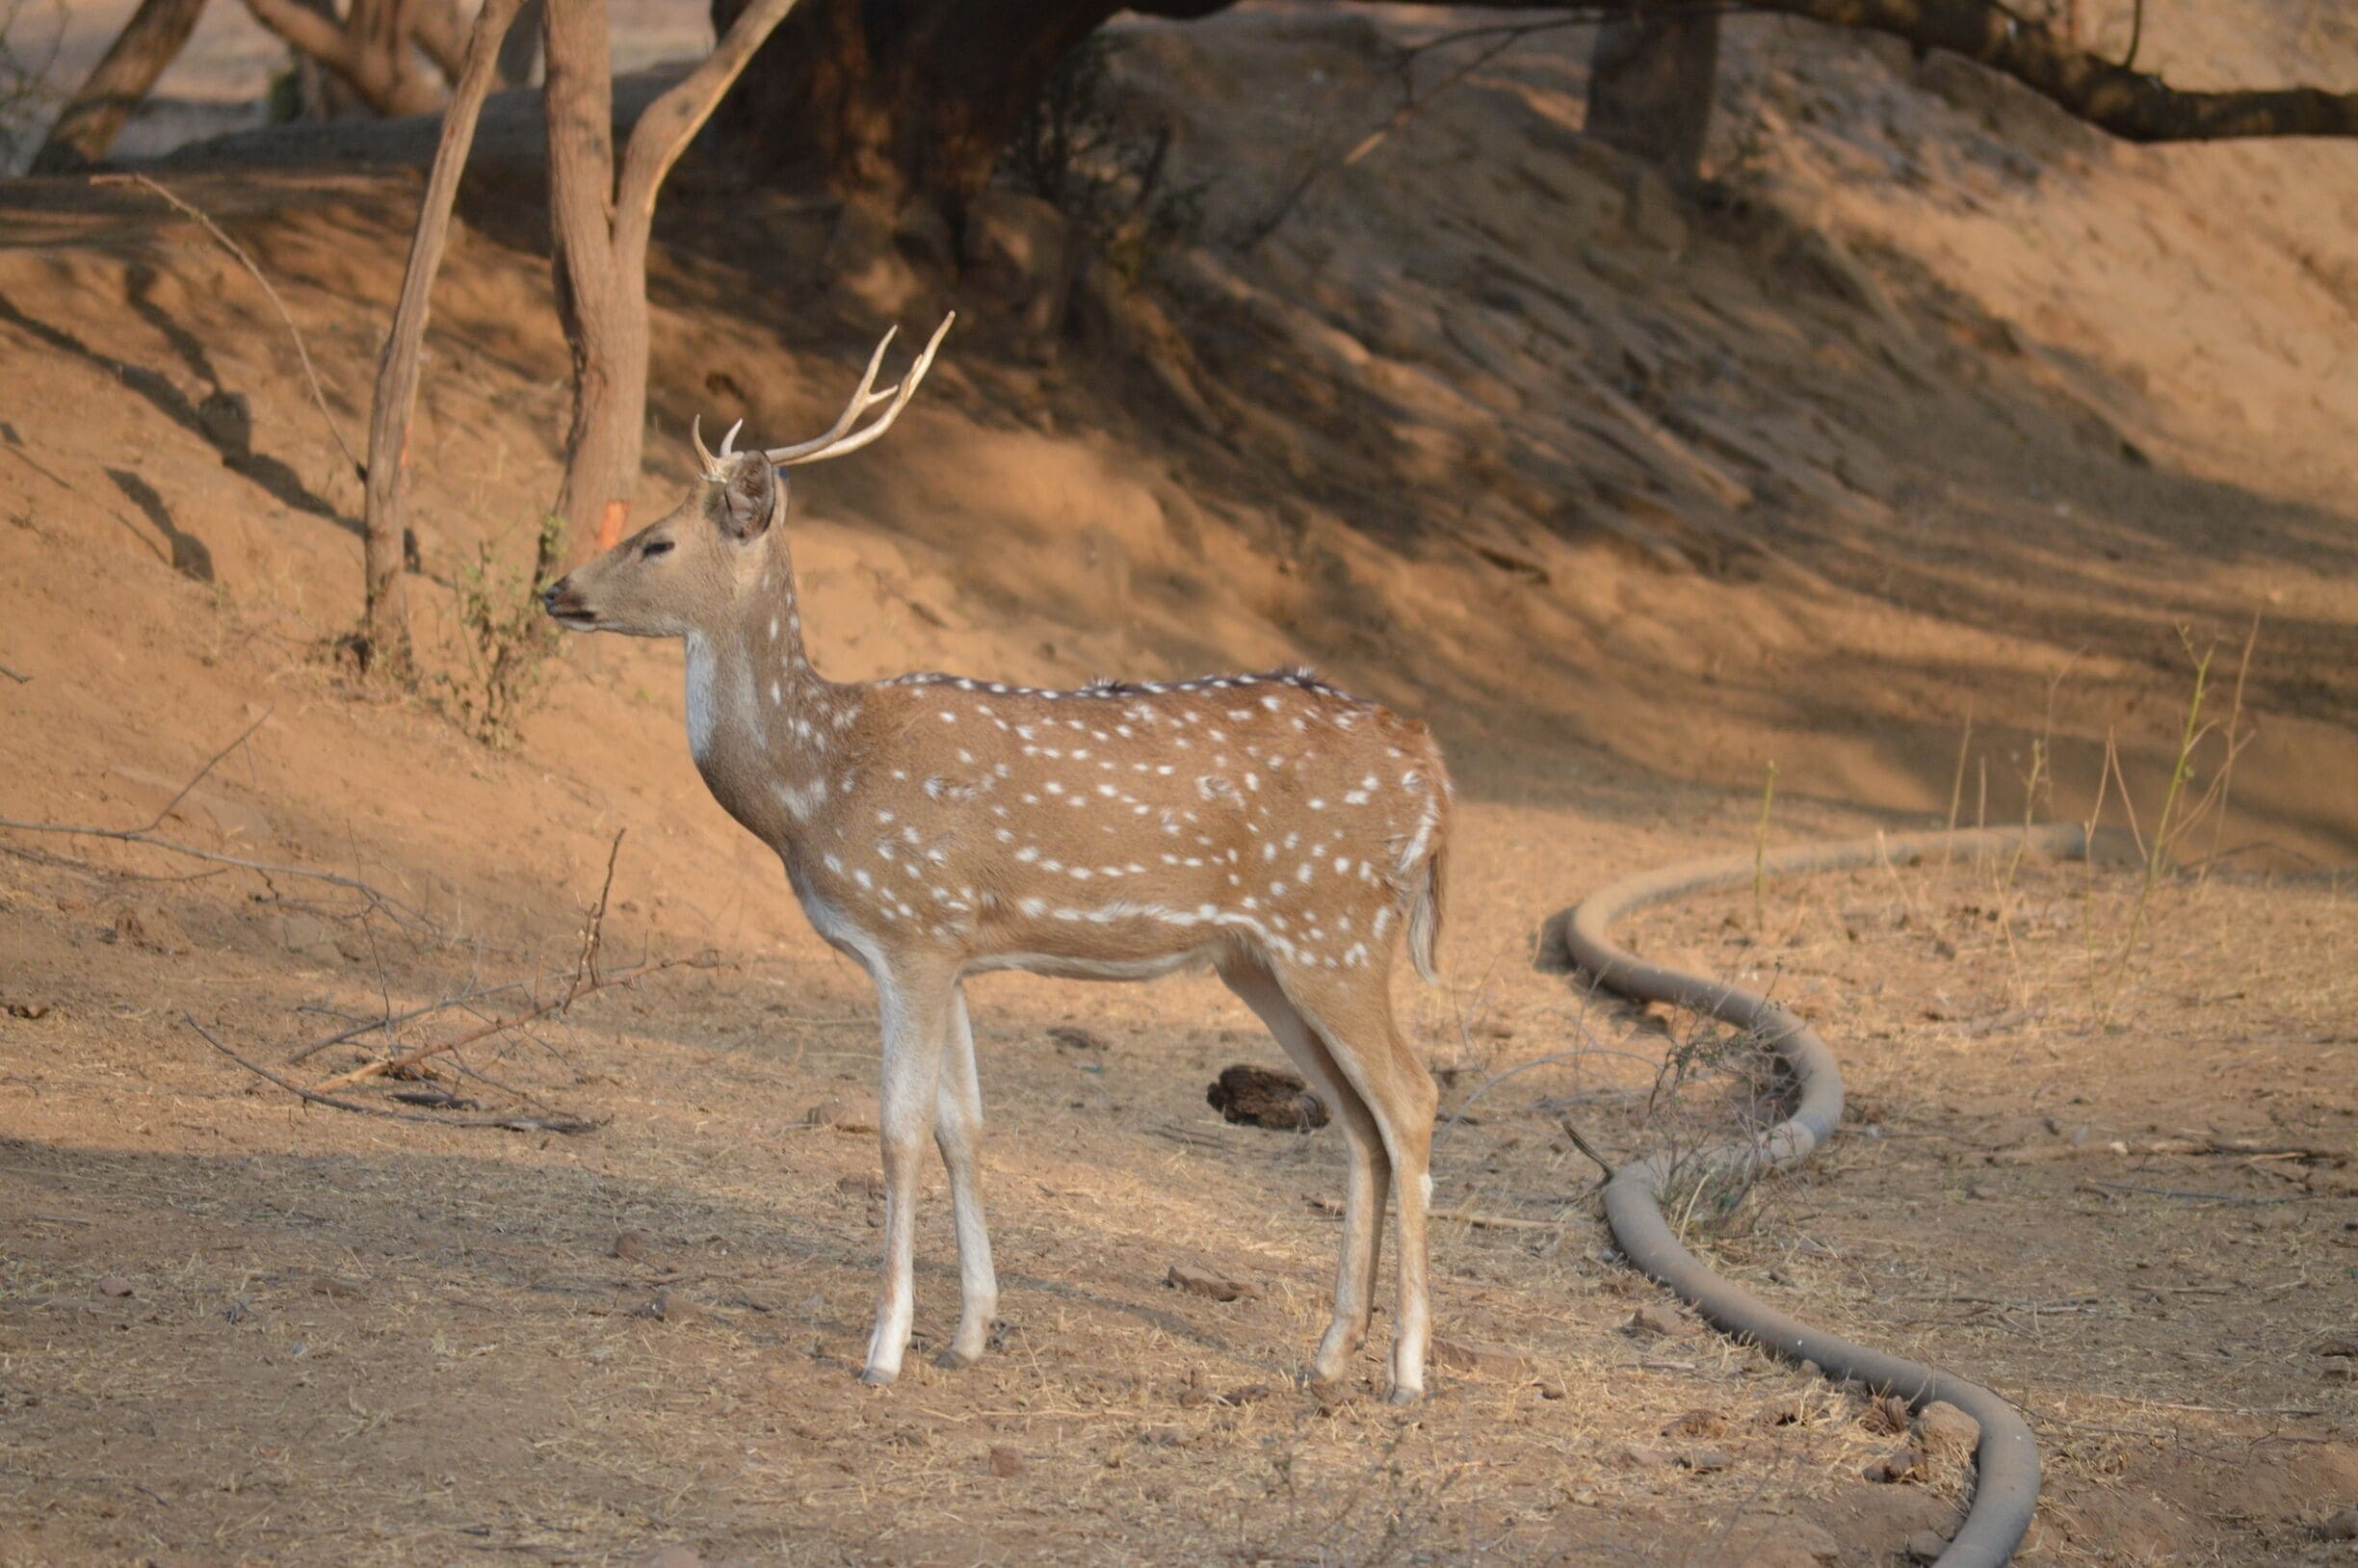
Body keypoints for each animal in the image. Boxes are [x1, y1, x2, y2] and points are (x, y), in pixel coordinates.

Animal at [543, 317, 1453, 1403]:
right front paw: (970, 1330)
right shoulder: (956, 949)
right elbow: (962, 1128)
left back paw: (1408, 1370)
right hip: (1263, 961)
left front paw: (884, 1347)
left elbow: (896, 1131)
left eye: (658, 540)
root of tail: (1434, 774)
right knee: (1355, 1120)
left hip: (1335, 932)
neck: (817, 783)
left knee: (1413, 1099)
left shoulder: (910, 930)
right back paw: (1327, 1351)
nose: (554, 588)